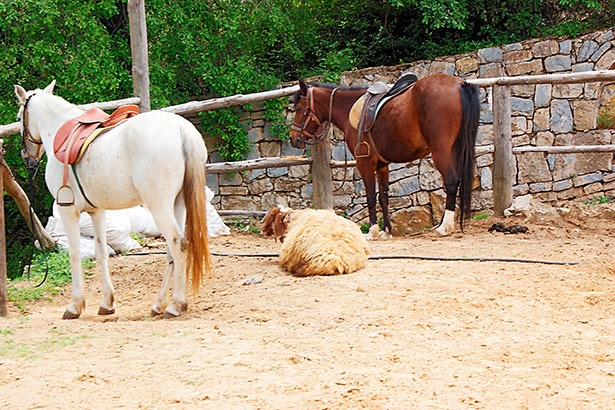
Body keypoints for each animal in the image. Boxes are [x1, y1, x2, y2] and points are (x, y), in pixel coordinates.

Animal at [14, 81, 213, 318]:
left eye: (18, 117)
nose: (27, 157)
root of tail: (182, 129)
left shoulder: (68, 210)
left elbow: (74, 254)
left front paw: (74, 306)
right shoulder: (97, 211)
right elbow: (101, 253)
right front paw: (107, 303)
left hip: (160, 207)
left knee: (178, 244)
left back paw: (176, 305)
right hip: (178, 205)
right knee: (171, 251)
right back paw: (158, 304)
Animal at [292, 73, 484, 237]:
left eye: (299, 108)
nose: (293, 139)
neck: (349, 110)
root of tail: (460, 84)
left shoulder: (364, 163)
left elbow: (370, 196)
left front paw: (373, 232)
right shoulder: (382, 165)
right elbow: (383, 196)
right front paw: (387, 231)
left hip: (441, 152)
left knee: (451, 181)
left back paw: (444, 227)